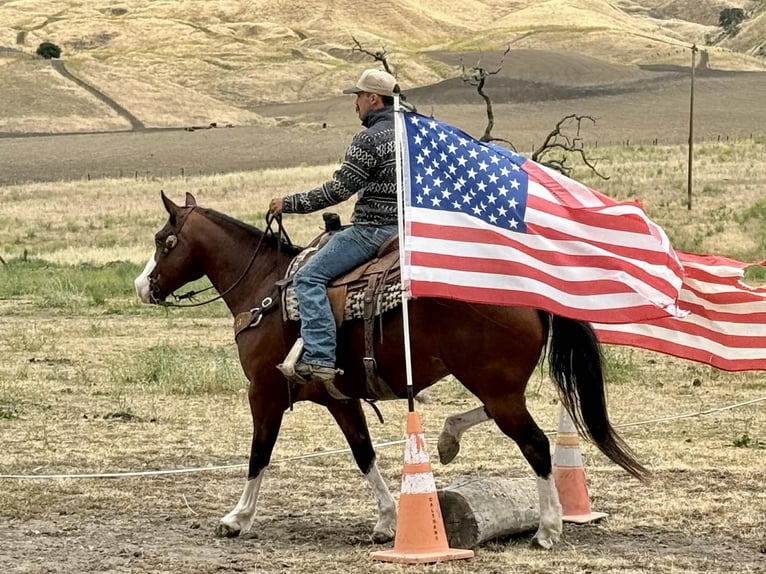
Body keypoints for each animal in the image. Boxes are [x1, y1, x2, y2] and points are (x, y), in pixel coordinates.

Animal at [134, 191, 648, 549]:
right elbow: (364, 454)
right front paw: (386, 521)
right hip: (494, 385)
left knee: (537, 445)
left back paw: (548, 529)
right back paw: (447, 440)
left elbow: (258, 454)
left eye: (163, 241)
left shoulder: (264, 392)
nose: (142, 286)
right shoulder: (338, 399)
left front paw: (236, 519)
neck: (266, 288)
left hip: (497, 387)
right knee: (492, 418)